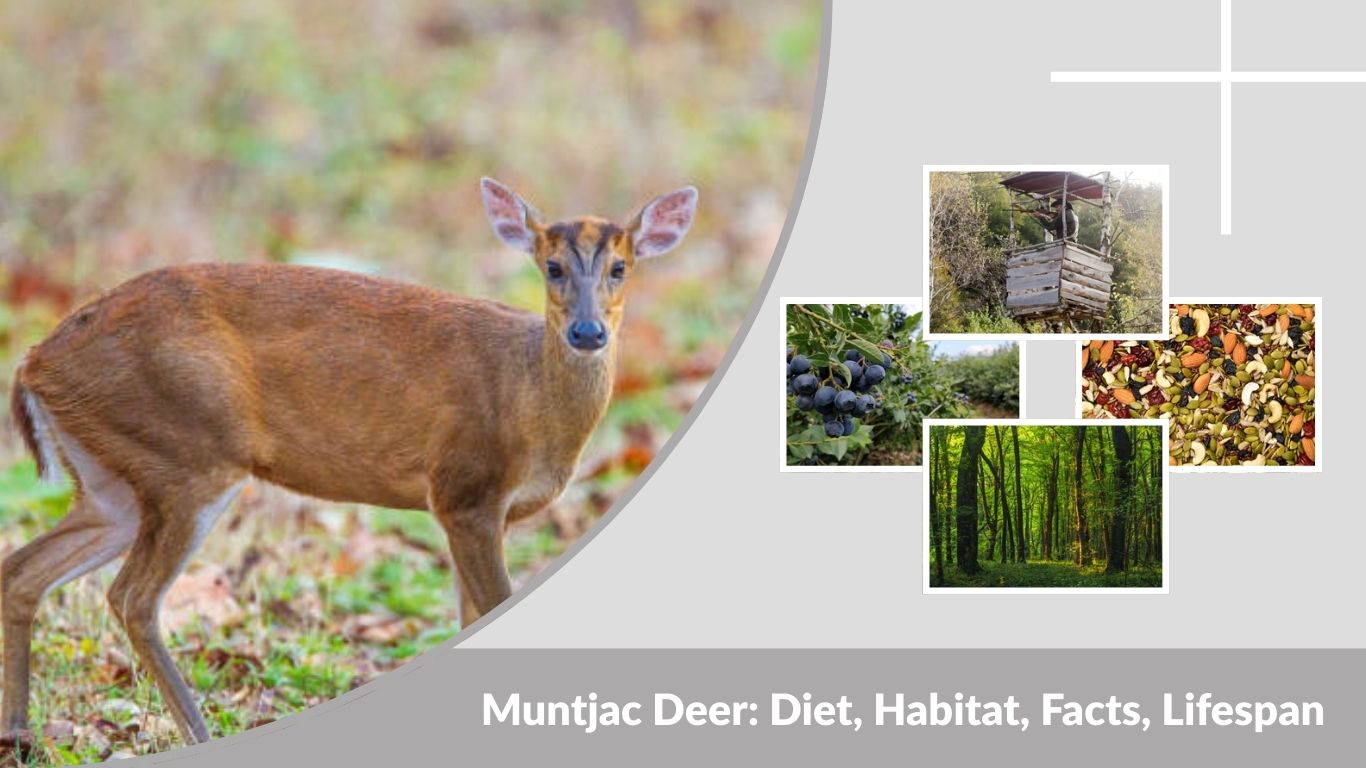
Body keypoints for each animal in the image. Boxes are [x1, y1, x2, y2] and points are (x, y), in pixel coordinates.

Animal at [1, 177, 697, 747]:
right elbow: (490, 606)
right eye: (551, 267)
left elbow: (469, 617)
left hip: (112, 480)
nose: (587, 332)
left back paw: (20, 734)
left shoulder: (472, 510)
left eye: (621, 267)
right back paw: (196, 734)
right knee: (132, 596)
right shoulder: (464, 488)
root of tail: (35, 362)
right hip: (187, 454)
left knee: (24, 570)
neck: (529, 400)